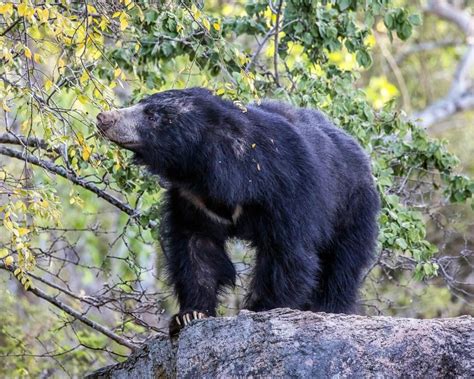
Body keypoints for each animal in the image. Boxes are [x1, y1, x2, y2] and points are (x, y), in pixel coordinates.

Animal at [96, 88, 382, 336]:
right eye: (142, 104)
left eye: (152, 116)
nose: (104, 117)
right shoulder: (193, 200)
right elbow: (197, 247)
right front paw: (189, 314)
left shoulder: (287, 188)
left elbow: (287, 253)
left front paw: (261, 309)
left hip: (353, 207)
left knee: (342, 264)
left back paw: (330, 307)